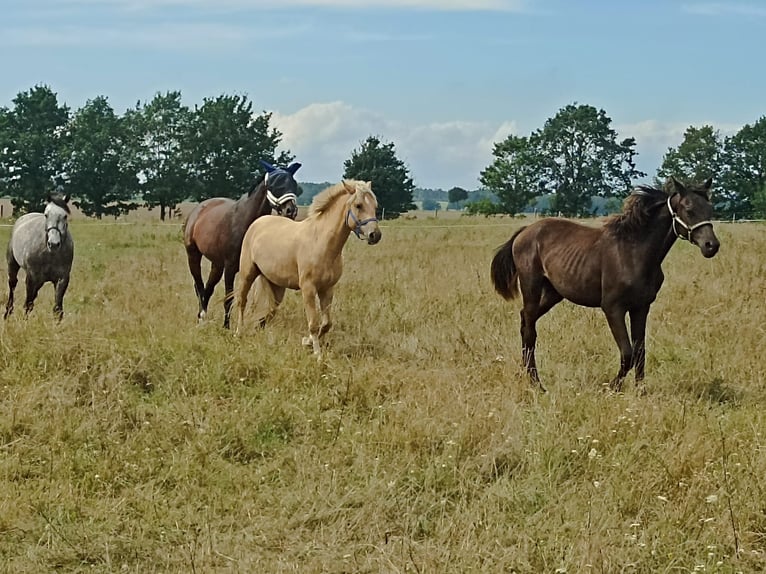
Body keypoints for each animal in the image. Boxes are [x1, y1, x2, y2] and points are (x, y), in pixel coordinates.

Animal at [4, 192, 75, 320]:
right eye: (46, 215)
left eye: (65, 216)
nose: (53, 244)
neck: (49, 254)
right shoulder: (31, 277)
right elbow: (28, 304)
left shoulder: (62, 279)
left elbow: (58, 309)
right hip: (13, 265)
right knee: (13, 285)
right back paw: (8, 312)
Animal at [182, 162, 300, 330]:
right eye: (275, 184)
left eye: (294, 184)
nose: (290, 210)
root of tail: (198, 209)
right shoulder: (230, 267)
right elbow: (229, 298)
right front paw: (226, 327)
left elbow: (266, 302)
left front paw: (259, 326)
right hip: (193, 255)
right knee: (199, 286)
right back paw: (201, 317)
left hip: (217, 264)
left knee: (208, 288)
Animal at [237, 180, 384, 356]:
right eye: (358, 205)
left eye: (375, 206)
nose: (375, 235)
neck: (321, 242)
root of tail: (257, 223)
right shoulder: (308, 288)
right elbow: (313, 323)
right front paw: (317, 354)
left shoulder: (327, 289)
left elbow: (326, 324)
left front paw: (307, 342)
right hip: (247, 275)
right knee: (242, 301)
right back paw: (238, 332)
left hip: (276, 286)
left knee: (270, 311)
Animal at [496, 178, 724, 394]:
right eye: (689, 209)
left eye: (710, 209)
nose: (711, 246)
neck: (634, 253)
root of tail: (524, 232)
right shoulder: (613, 308)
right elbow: (627, 353)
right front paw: (611, 387)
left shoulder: (641, 307)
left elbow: (640, 350)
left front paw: (640, 391)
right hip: (531, 287)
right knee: (530, 330)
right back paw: (536, 384)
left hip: (553, 293)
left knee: (525, 320)